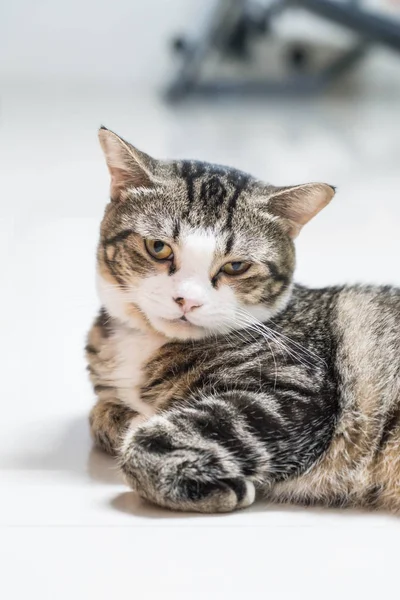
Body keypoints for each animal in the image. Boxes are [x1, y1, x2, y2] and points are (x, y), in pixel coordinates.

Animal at [87, 125, 400, 510]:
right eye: (158, 248)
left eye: (236, 266)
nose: (187, 300)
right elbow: (101, 414)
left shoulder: (296, 392)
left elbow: (155, 439)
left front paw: (212, 487)